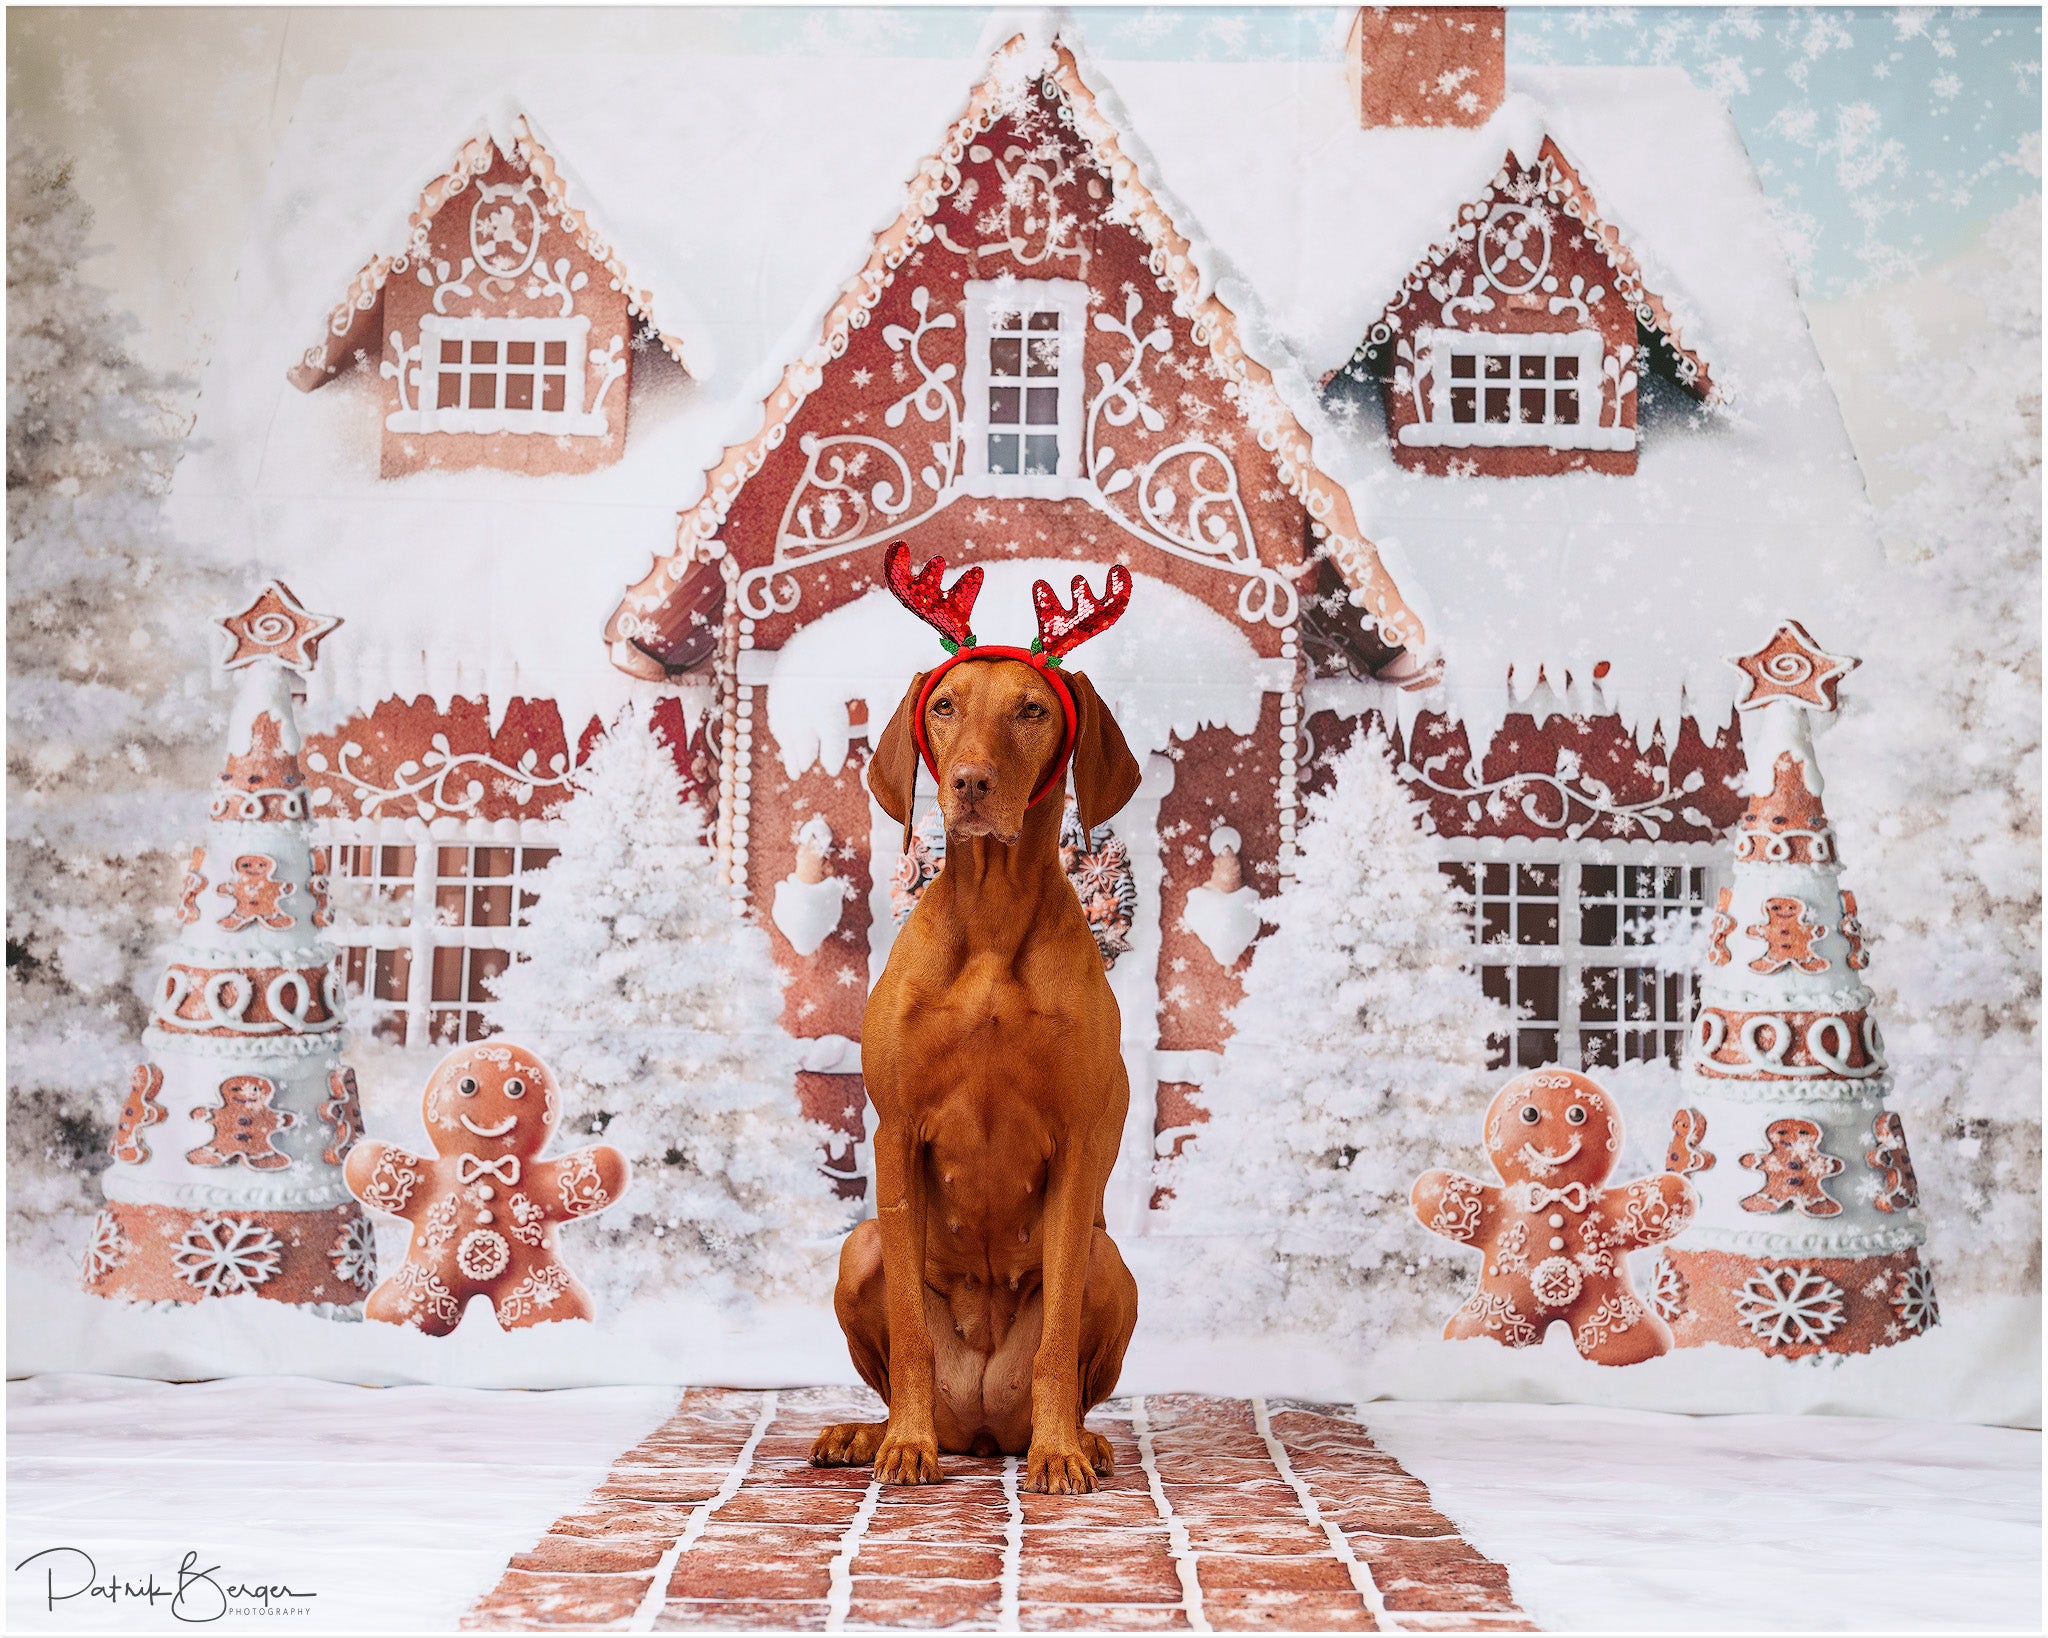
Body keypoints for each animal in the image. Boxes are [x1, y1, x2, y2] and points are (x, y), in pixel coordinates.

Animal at [806, 544, 1146, 1490]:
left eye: (1032, 709)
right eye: (946, 706)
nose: (969, 784)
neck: (991, 926)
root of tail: (985, 1431)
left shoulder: (1079, 1144)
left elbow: (1058, 1338)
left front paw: (1062, 1452)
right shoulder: (895, 1132)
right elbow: (911, 1332)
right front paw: (904, 1446)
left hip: (1111, 1262)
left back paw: (1079, 1438)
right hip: (861, 1250)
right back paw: (872, 1432)